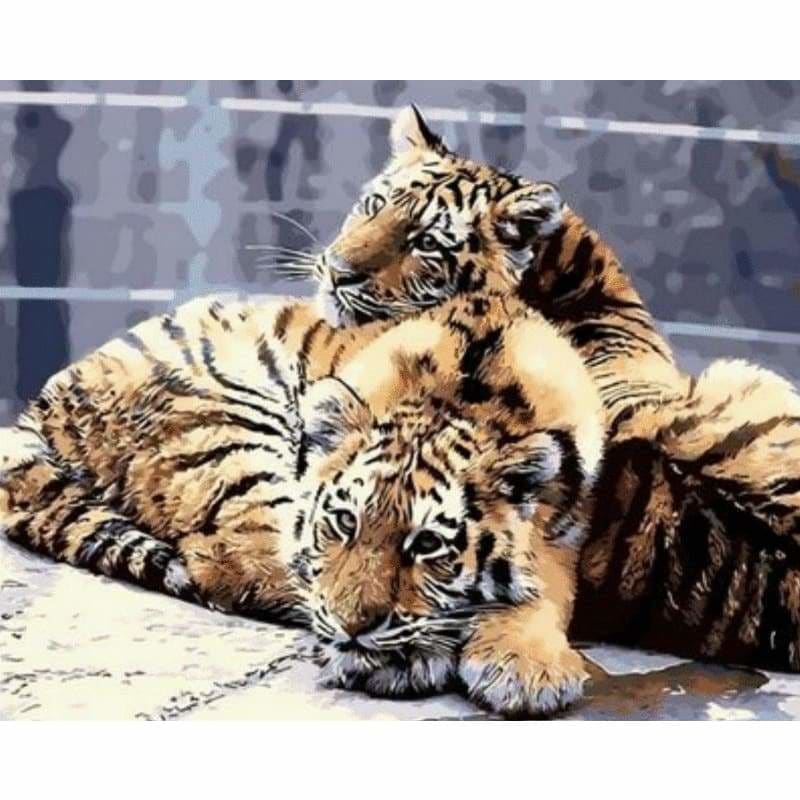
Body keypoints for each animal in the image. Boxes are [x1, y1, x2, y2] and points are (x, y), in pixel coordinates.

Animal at [0, 290, 605, 716]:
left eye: (428, 544)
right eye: (343, 521)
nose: (353, 629)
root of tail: (44, 402)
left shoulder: (568, 527)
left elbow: (546, 587)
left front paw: (526, 670)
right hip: (229, 428)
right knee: (238, 562)